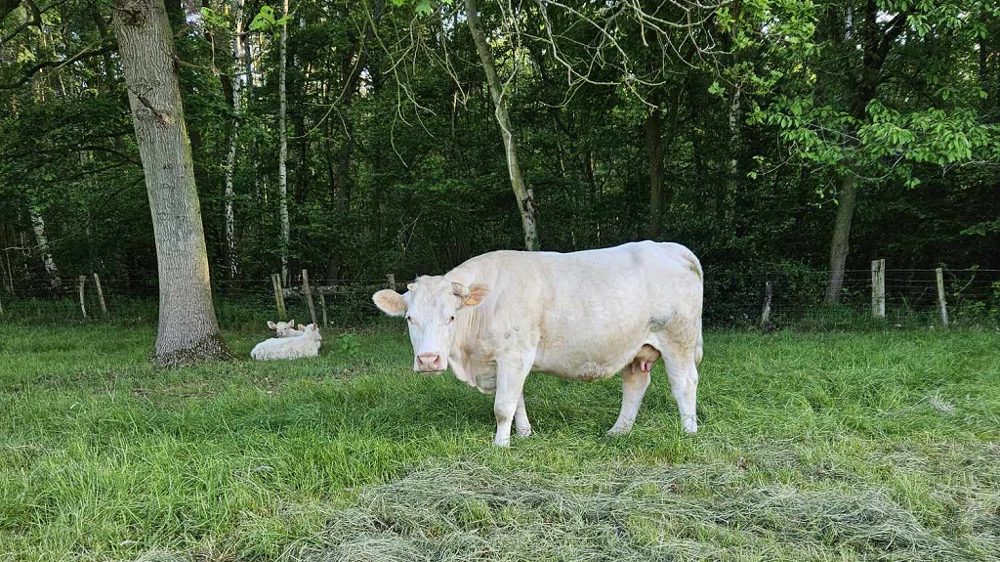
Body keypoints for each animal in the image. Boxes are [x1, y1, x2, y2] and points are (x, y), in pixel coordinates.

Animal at [372, 241, 704, 447]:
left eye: (451, 317)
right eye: (409, 318)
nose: (428, 360)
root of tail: (667, 247)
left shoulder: (514, 355)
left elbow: (503, 405)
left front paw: (500, 445)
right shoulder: (505, 360)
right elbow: (516, 398)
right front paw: (524, 434)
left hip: (678, 338)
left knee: (684, 383)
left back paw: (689, 431)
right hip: (635, 347)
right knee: (635, 385)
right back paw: (618, 432)